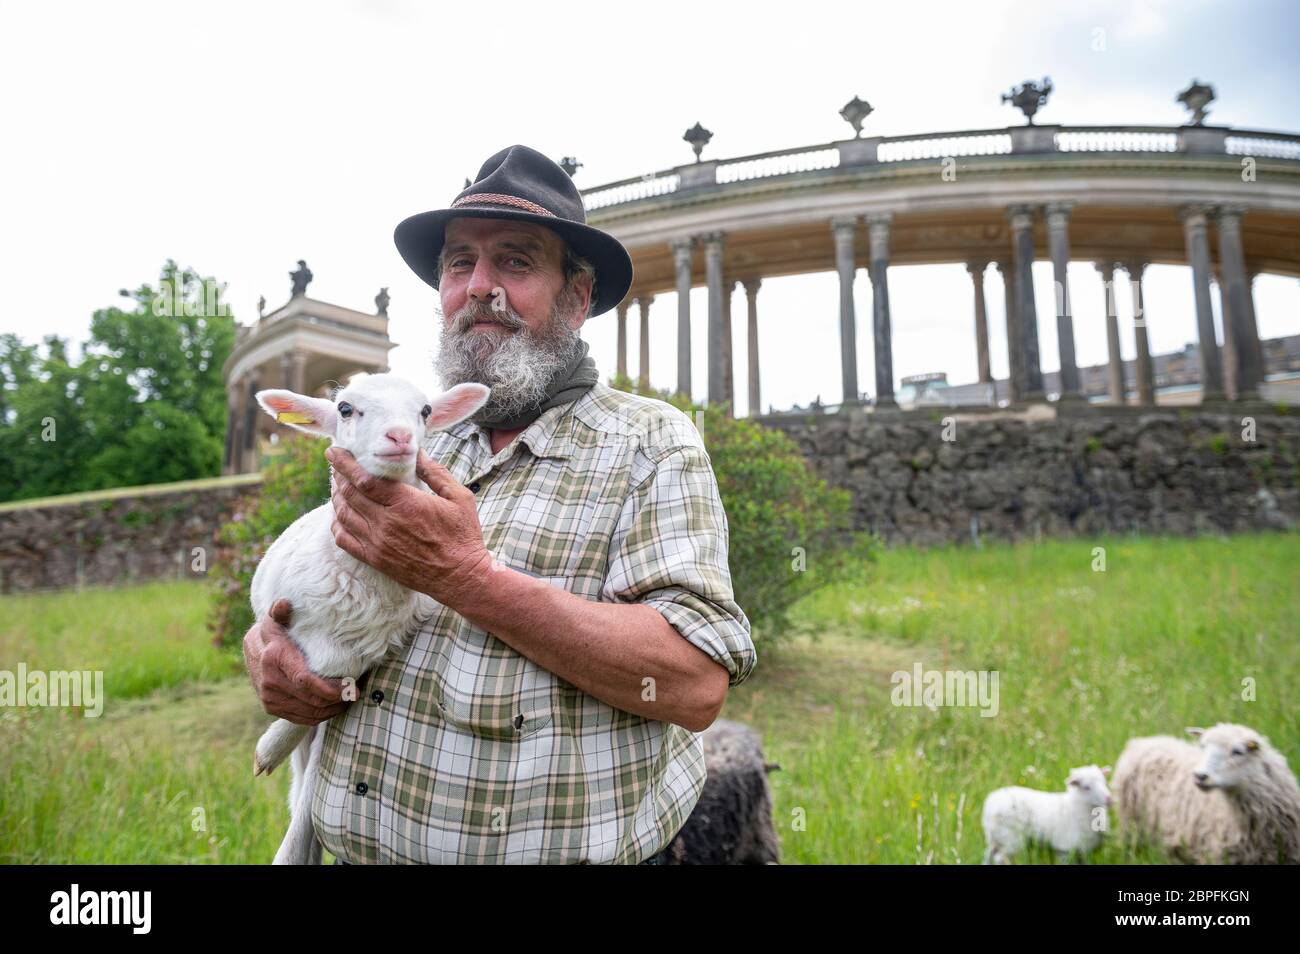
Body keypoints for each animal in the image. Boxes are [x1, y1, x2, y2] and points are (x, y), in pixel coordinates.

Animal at [248, 371, 488, 868]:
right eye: (345, 408)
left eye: (425, 411)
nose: (399, 437)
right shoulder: (291, 618)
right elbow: (326, 667)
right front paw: (269, 748)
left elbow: (340, 668)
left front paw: (271, 746)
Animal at [977, 769, 1112, 868]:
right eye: (1086, 787)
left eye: (1104, 782)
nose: (1109, 799)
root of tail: (990, 804)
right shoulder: (1065, 849)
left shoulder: (1082, 851)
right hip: (1011, 839)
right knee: (1000, 859)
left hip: (996, 839)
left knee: (988, 855)